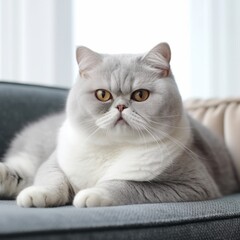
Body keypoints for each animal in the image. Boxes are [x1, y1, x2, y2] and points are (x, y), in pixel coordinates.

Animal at [0, 42, 240, 207]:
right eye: (102, 94)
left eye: (141, 95)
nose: (121, 107)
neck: (112, 148)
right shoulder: (54, 161)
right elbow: (52, 178)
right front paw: (39, 194)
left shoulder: (192, 184)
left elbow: (126, 185)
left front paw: (93, 194)